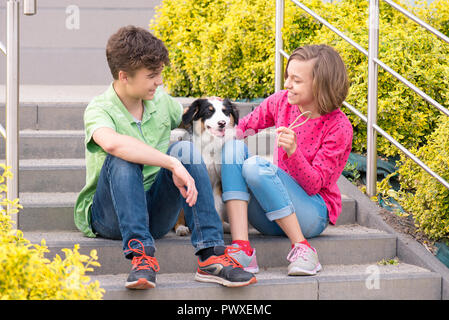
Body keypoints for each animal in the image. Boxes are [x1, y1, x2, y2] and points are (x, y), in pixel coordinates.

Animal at [172, 97, 238, 235]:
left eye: (225, 111)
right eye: (209, 112)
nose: (222, 123)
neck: (210, 145)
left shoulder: (217, 182)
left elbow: (215, 205)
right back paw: (181, 227)